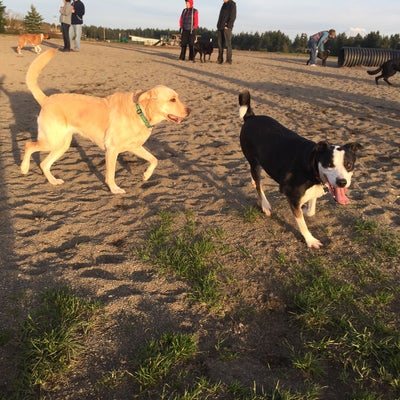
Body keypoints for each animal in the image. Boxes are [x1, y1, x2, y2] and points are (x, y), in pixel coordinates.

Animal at [20, 49, 192, 193]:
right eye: (172, 99)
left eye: (177, 98)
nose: (189, 111)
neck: (140, 112)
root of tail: (47, 99)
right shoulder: (112, 150)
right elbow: (111, 174)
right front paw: (114, 189)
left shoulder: (135, 147)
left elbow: (154, 159)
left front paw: (146, 175)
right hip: (52, 141)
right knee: (29, 145)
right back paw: (24, 168)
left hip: (62, 145)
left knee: (44, 163)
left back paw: (53, 181)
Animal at [239, 89, 364, 248]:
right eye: (329, 164)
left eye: (348, 165)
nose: (342, 182)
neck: (311, 164)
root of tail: (251, 117)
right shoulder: (292, 196)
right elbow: (302, 224)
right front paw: (310, 240)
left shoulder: (314, 188)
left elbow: (311, 209)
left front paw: (305, 209)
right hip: (254, 162)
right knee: (259, 187)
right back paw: (265, 205)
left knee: (255, 179)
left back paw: (253, 183)